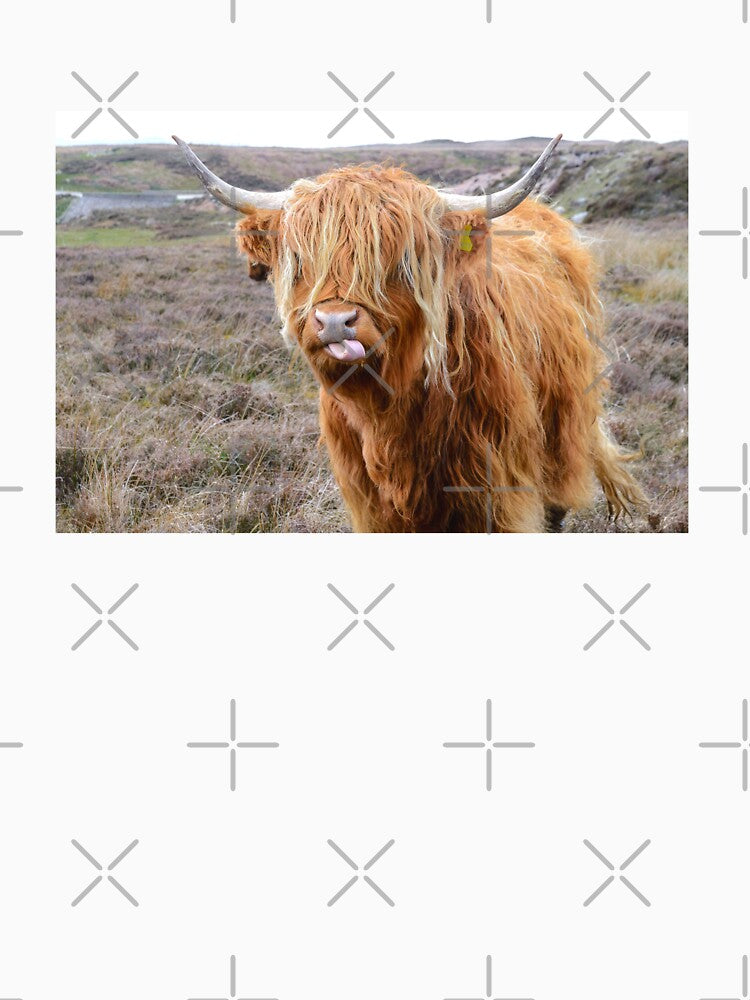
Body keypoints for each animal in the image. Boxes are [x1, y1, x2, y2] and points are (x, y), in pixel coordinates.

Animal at [173, 135, 645, 532]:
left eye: (399, 260)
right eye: (301, 260)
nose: (334, 322)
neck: (389, 409)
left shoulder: (496, 488)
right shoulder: (370, 502)